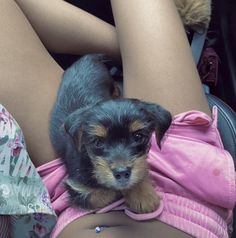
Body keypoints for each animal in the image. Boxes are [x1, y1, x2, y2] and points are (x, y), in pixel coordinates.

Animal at [49, 54, 171, 214]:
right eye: (98, 142)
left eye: (138, 137)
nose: (122, 173)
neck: (88, 159)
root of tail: (88, 57)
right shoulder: (78, 188)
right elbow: (104, 193)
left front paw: (142, 194)